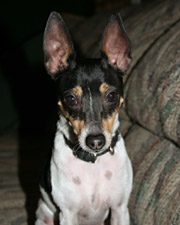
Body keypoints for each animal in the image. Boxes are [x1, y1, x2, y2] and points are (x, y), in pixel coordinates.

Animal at [35, 11, 133, 225]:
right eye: (70, 99)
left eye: (112, 96)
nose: (95, 141)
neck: (93, 163)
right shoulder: (67, 214)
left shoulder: (120, 209)